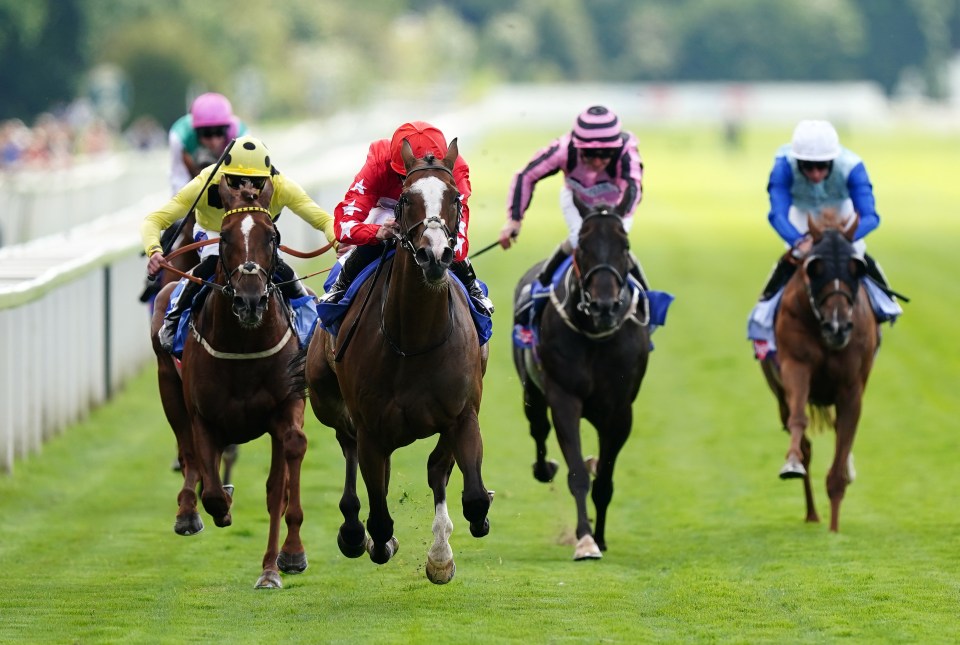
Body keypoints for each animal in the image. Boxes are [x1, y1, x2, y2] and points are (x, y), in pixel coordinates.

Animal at [150, 174, 308, 588]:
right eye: (223, 236)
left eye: (272, 236)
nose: (250, 301)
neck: (244, 344)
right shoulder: (204, 416)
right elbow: (212, 489)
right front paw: (219, 506)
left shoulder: (285, 409)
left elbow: (277, 489)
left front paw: (277, 564)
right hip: (168, 387)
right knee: (187, 454)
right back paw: (187, 513)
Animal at [304, 138, 492, 588]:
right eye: (406, 199)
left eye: (456, 198)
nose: (436, 255)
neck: (414, 340)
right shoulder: (370, 426)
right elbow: (380, 516)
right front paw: (375, 538)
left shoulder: (463, 413)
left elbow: (469, 494)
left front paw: (441, 556)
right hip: (327, 401)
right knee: (350, 450)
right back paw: (355, 531)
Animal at [510, 195, 652, 560]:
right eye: (583, 246)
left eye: (624, 245)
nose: (604, 306)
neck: (595, 335)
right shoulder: (564, 398)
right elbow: (577, 473)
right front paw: (586, 540)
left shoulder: (620, 411)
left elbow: (604, 481)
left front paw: (599, 536)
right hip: (531, 392)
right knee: (538, 430)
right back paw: (545, 468)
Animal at [760, 209, 880, 532]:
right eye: (815, 267)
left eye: (855, 268)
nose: (838, 327)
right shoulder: (796, 365)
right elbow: (799, 421)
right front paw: (791, 463)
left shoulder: (851, 388)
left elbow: (843, 444)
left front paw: (835, 529)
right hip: (778, 394)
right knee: (805, 444)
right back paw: (811, 512)